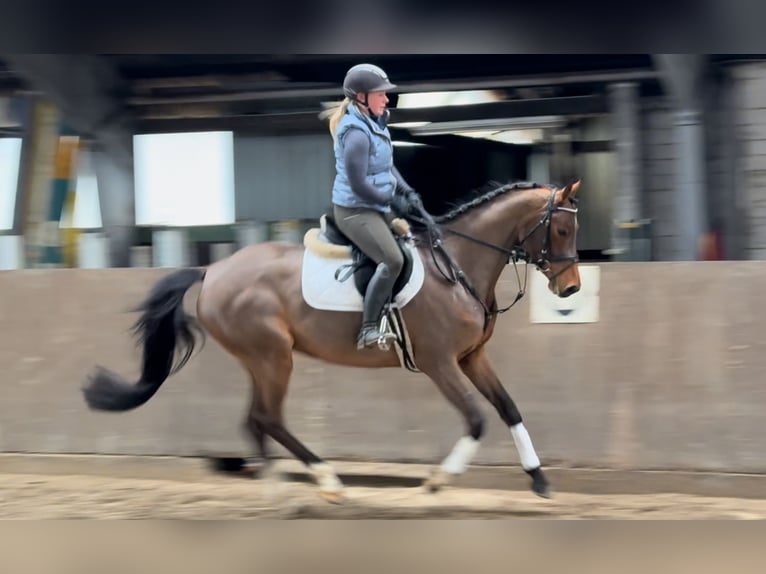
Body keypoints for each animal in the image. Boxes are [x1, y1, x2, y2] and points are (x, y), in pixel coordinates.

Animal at [82, 180, 582, 504]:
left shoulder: (472, 356)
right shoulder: (440, 362)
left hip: (261, 360)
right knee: (268, 417)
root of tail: (213, 271)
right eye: (561, 230)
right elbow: (477, 419)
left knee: (255, 420)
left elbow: (509, 408)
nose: (571, 288)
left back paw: (276, 487)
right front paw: (438, 481)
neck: (456, 267)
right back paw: (324, 481)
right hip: (273, 356)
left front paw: (539, 479)